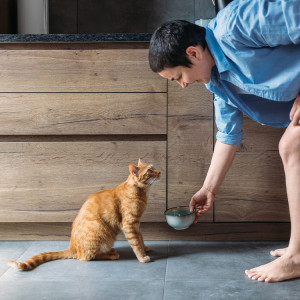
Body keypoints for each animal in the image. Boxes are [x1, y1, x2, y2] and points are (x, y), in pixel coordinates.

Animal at [7, 161, 161, 270]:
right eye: (150, 171)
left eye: (154, 168)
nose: (159, 172)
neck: (141, 192)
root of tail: (71, 247)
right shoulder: (129, 224)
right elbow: (135, 243)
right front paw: (142, 257)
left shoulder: (137, 223)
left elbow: (140, 238)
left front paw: (145, 248)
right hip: (101, 232)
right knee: (86, 257)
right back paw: (112, 253)